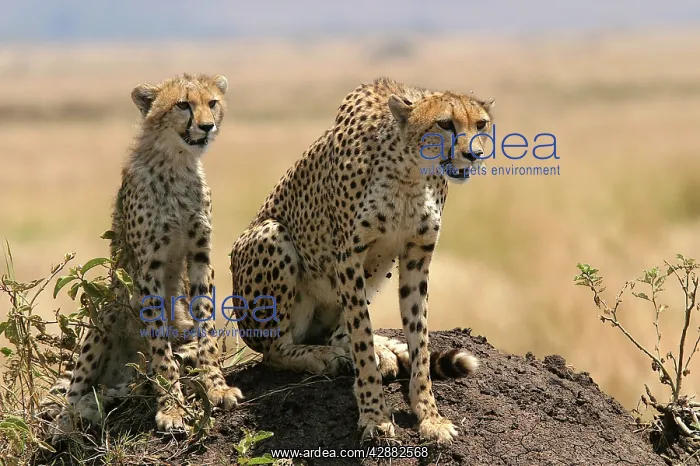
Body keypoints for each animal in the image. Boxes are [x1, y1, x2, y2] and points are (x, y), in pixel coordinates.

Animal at [41, 73, 243, 442]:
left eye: (212, 103)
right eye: (183, 104)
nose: (207, 126)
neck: (176, 162)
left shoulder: (199, 255)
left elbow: (206, 327)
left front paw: (217, 386)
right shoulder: (149, 266)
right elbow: (161, 347)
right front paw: (172, 409)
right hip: (107, 312)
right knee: (77, 389)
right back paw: (66, 424)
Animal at [229, 77, 494, 444]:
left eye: (480, 124)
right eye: (445, 123)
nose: (474, 154)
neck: (410, 171)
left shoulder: (416, 255)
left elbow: (419, 336)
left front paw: (429, 414)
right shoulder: (348, 257)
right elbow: (361, 335)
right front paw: (374, 414)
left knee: (336, 334)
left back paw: (386, 350)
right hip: (271, 238)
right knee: (276, 349)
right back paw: (328, 358)